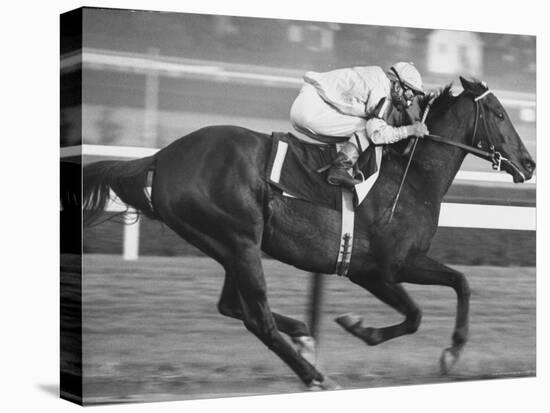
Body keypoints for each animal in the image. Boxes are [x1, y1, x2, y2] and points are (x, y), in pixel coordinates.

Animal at [84, 77, 536, 390]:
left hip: (231, 244)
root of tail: (162, 156)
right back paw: (314, 374)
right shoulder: (383, 268)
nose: (530, 164)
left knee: (233, 306)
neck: (412, 176)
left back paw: (303, 336)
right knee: (258, 318)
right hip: (239, 242)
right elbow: (432, 303)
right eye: (499, 114)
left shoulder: (380, 269)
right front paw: (444, 349)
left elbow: (449, 290)